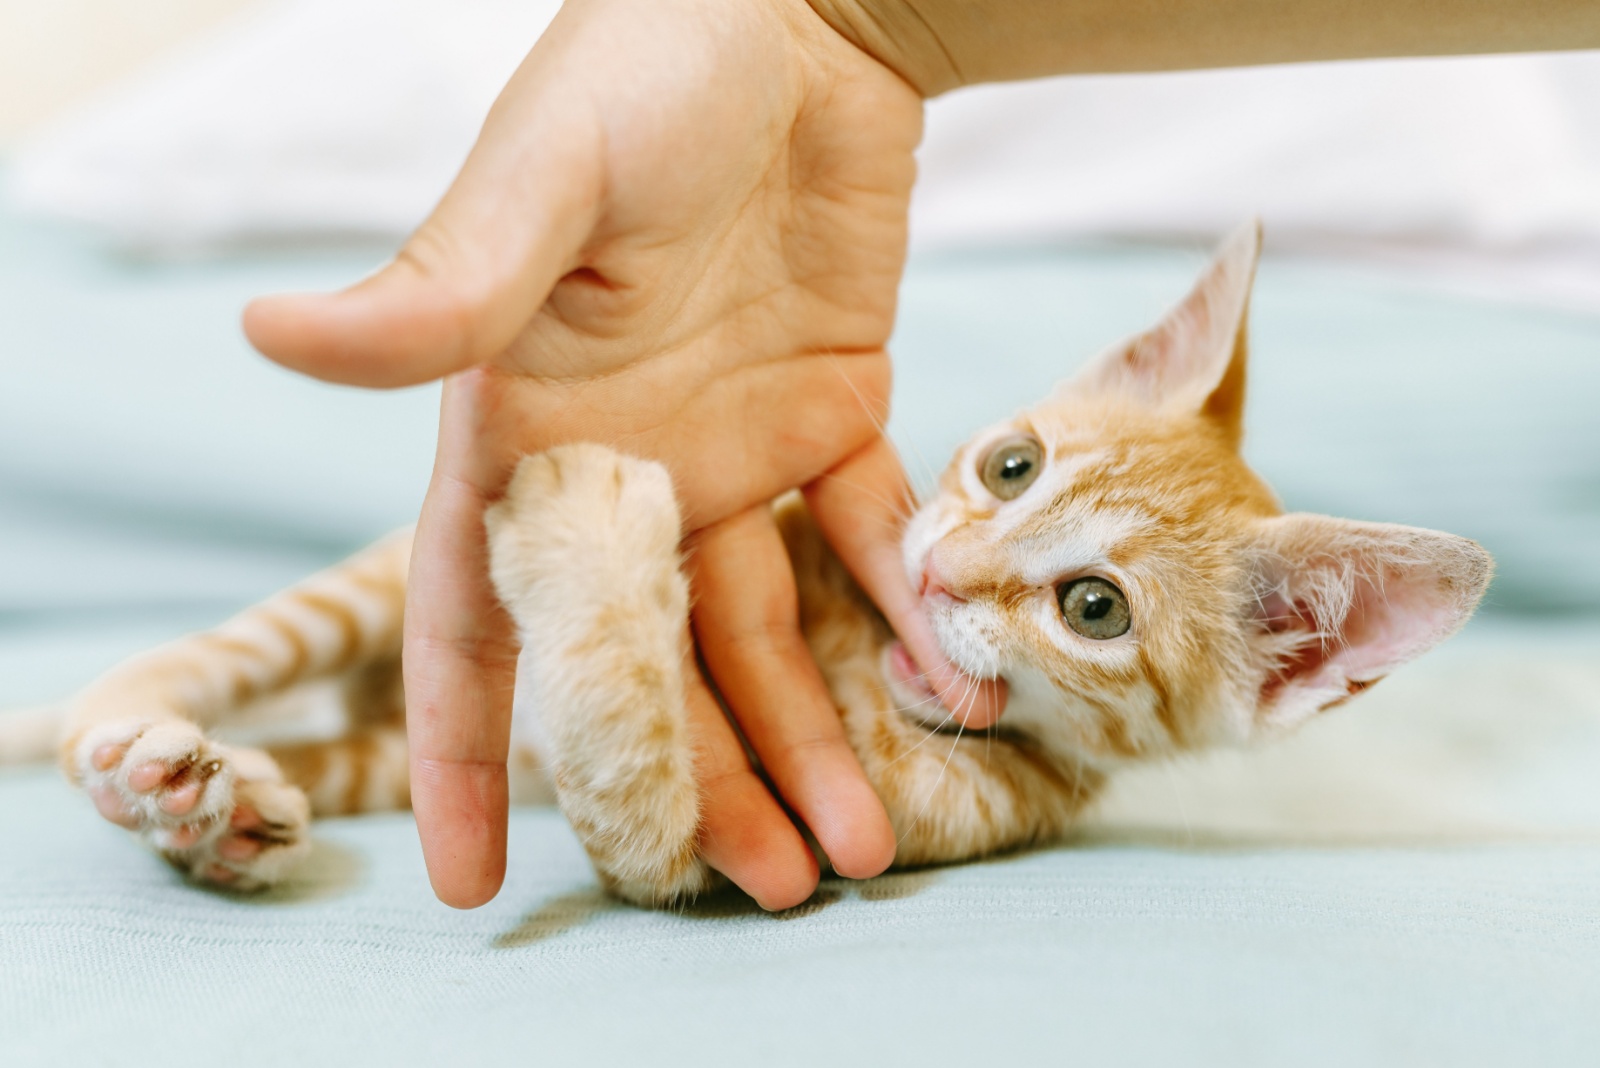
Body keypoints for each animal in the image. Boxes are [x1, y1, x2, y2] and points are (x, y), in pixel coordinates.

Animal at [6, 225, 1491, 901]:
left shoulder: (772, 849)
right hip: (376, 594)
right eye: (1011, 468)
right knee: (216, 658)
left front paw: (593, 526)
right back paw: (135, 745)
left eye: (1092, 608)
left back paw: (215, 807)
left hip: (419, 751)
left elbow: (638, 782)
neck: (861, 668)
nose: (943, 575)